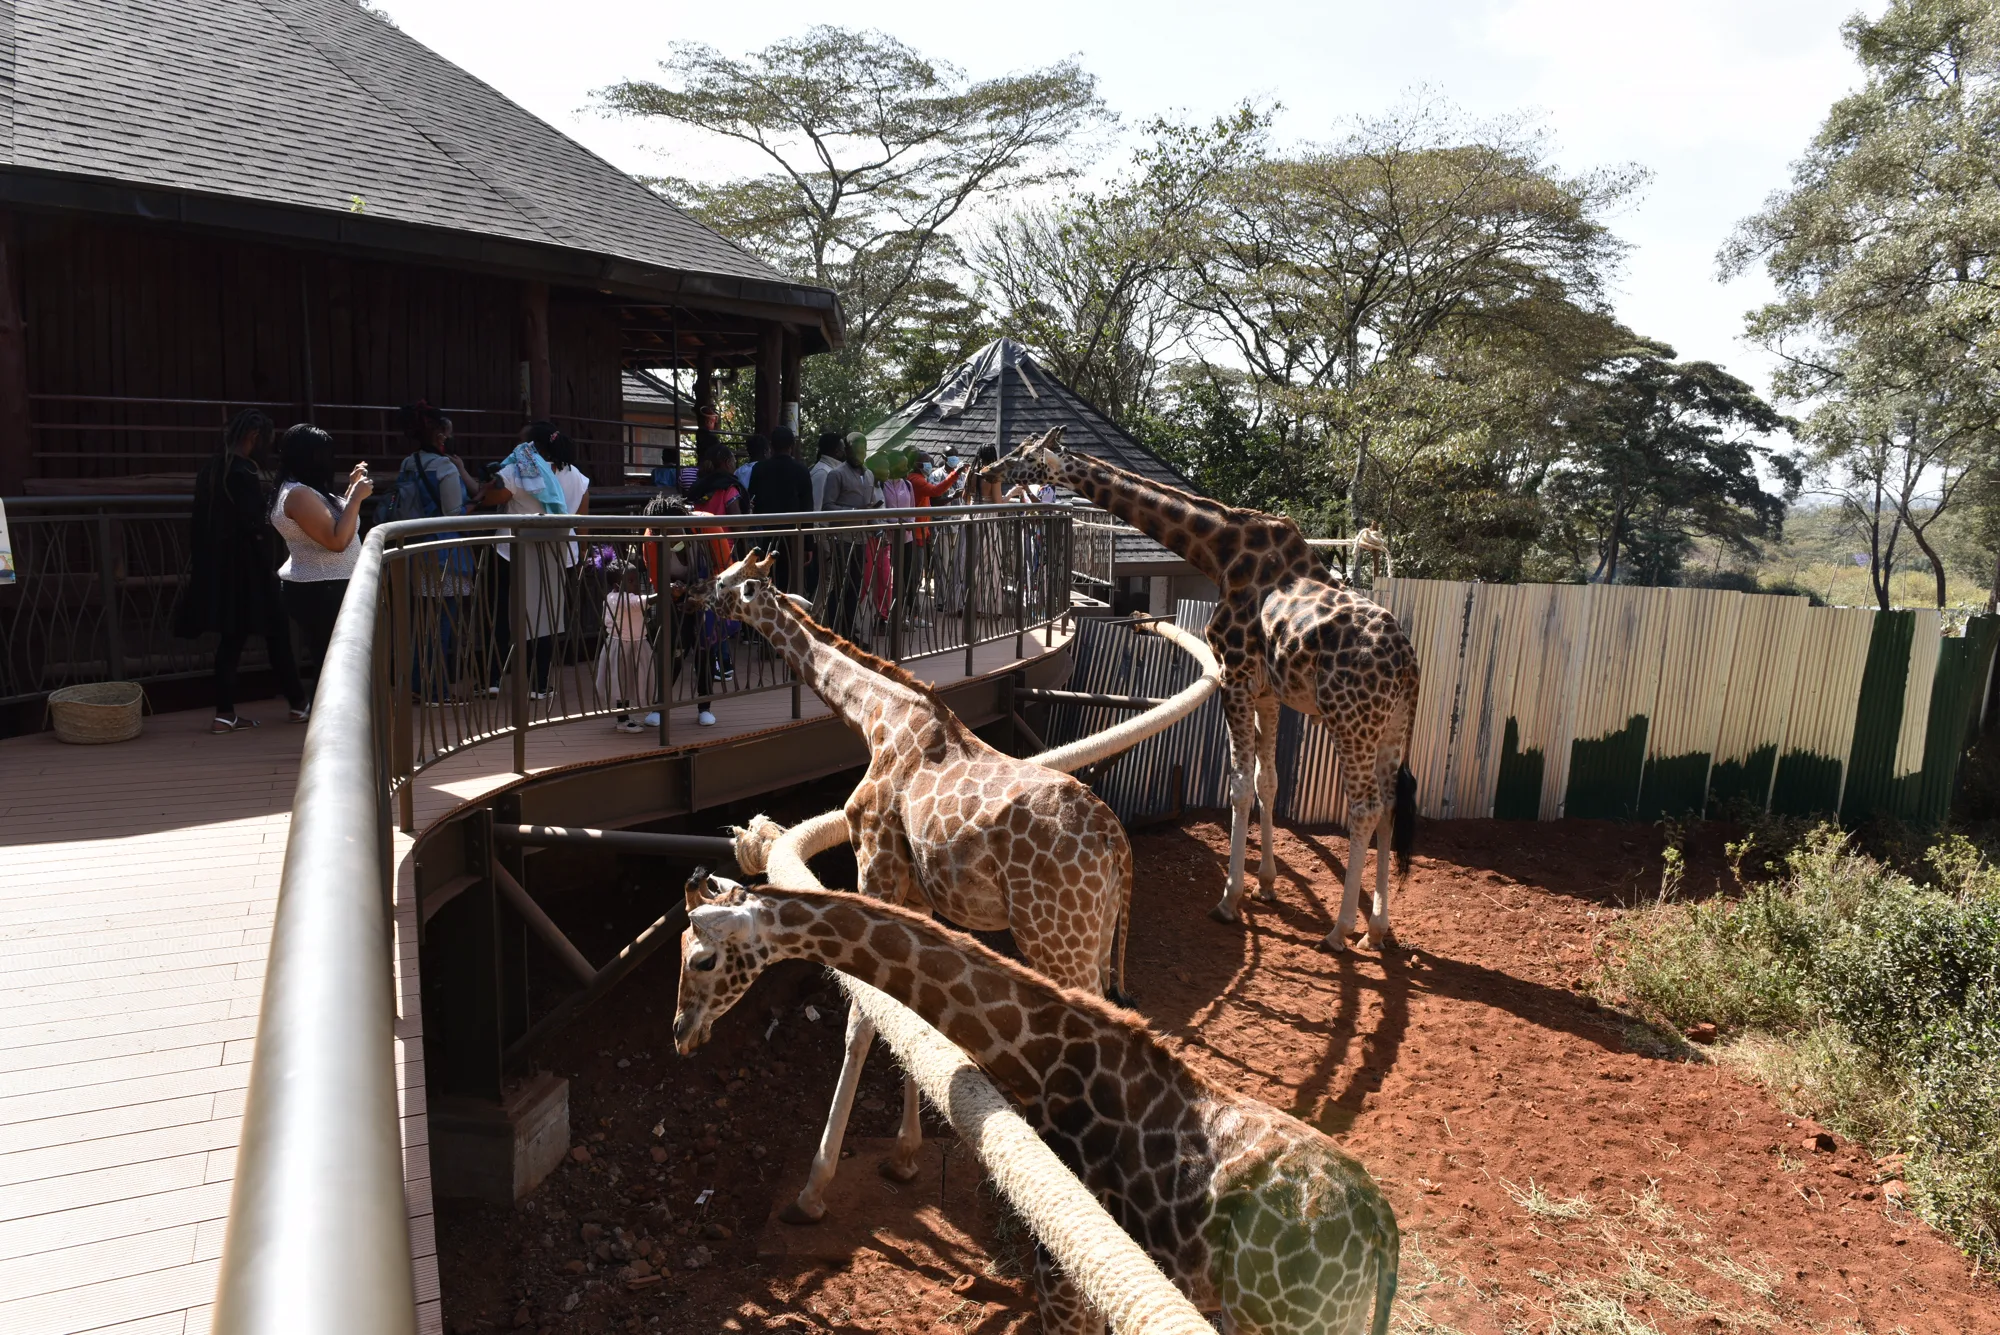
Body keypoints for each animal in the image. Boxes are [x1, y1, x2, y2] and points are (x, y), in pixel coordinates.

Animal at [676, 871, 1400, 1335]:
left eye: (703, 959)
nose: (682, 1033)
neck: (1043, 1054)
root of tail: (1379, 1224)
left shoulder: (1062, 1266)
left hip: (1287, 1315)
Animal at [703, 549, 1134, 1223]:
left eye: (731, 582)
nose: (702, 594)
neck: (876, 718)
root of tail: (1115, 842)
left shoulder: (874, 868)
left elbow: (863, 1019)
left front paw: (814, 1189)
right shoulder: (916, 898)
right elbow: (917, 1013)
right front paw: (905, 1156)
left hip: (1054, 935)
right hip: (1093, 932)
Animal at [980, 428, 1419, 953]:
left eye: (1024, 455)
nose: (987, 470)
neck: (1220, 553)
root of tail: (1407, 665)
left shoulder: (1234, 676)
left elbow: (1239, 786)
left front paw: (1230, 900)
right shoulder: (1267, 692)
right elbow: (1268, 782)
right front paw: (1266, 885)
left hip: (1350, 721)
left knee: (1364, 809)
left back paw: (1340, 930)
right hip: (1393, 725)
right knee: (1389, 807)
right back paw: (1377, 928)